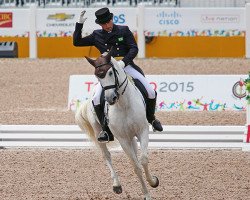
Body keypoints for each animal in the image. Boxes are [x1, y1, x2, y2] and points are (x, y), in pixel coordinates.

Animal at [75, 50, 159, 200]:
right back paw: (117, 185)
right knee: (106, 155)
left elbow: (143, 160)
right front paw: (147, 194)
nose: (110, 99)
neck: (123, 104)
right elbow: (136, 166)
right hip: (98, 131)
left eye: (110, 73)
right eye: (97, 75)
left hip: (132, 136)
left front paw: (153, 181)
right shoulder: (123, 139)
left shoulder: (142, 131)